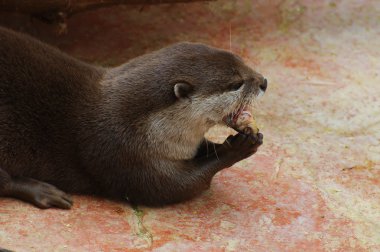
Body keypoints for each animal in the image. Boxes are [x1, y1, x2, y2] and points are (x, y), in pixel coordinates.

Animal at [0, 26, 268, 210]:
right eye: (236, 84)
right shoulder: (123, 155)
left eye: (241, 61)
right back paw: (45, 192)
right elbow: (177, 187)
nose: (264, 81)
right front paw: (237, 147)